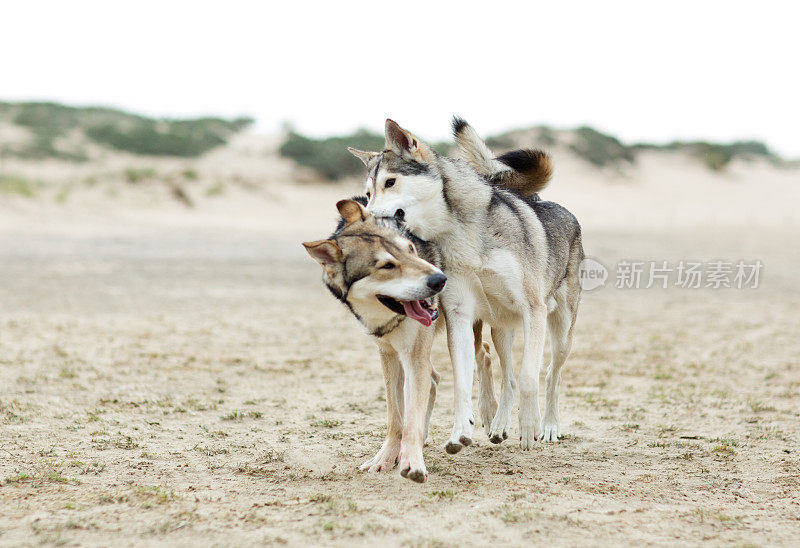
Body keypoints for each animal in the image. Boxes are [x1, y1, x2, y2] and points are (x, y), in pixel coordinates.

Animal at [348, 120, 580, 454]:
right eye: (367, 193)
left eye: (390, 182)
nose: (366, 218)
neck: (457, 231)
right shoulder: (459, 315)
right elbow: (462, 380)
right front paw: (460, 432)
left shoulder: (532, 310)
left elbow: (529, 377)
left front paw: (529, 428)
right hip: (501, 331)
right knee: (507, 376)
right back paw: (498, 425)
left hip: (560, 333)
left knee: (550, 375)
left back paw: (548, 426)